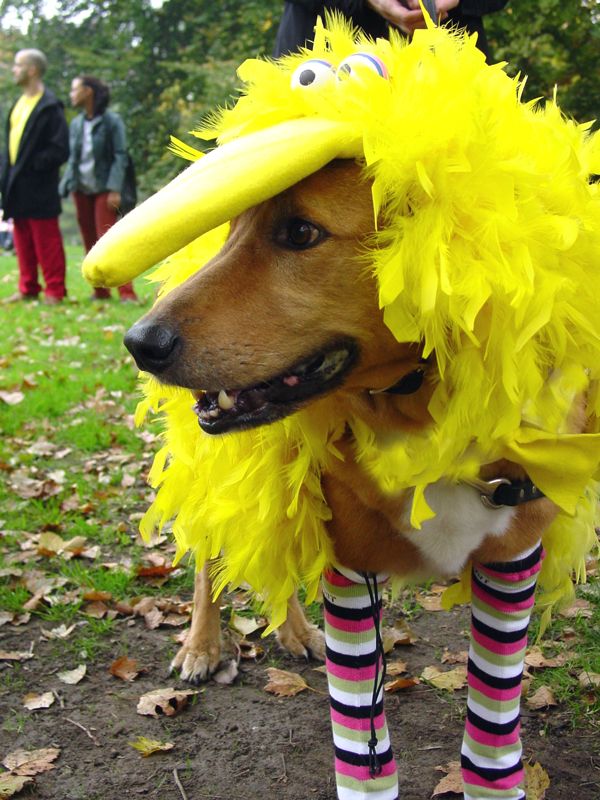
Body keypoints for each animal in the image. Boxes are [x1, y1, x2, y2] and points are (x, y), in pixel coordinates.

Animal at [85, 18, 600, 800]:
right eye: (232, 229)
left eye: (301, 233)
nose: (139, 342)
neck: (420, 418)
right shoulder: (349, 571)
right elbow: (361, 757)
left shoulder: (512, 567)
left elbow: (492, 741)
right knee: (213, 558)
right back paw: (205, 643)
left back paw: (293, 631)